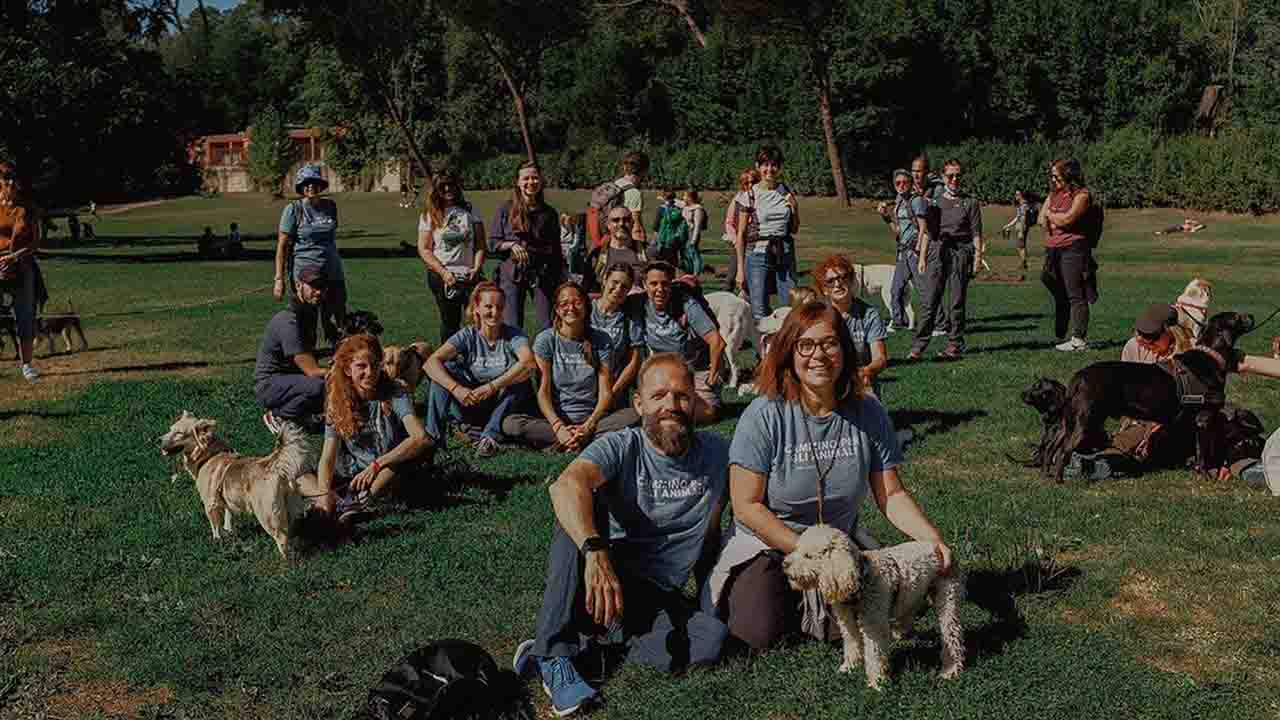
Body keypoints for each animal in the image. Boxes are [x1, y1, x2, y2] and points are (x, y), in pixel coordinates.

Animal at [783, 525, 962, 686]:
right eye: (796, 549)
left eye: (808, 555)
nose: (785, 564)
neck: (860, 580)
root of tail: (937, 545)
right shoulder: (847, 622)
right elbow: (852, 644)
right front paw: (849, 667)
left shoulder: (873, 623)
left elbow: (874, 653)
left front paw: (877, 682)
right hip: (913, 594)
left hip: (947, 598)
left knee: (951, 635)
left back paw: (950, 670)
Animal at [1049, 310, 1249, 481]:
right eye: (1237, 317)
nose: (1252, 317)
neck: (1211, 356)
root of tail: (1079, 375)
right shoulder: (1203, 419)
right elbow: (1202, 453)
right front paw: (1206, 475)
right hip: (1086, 420)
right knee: (1064, 450)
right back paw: (1059, 480)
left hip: (1072, 421)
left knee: (1053, 445)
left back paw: (1047, 473)